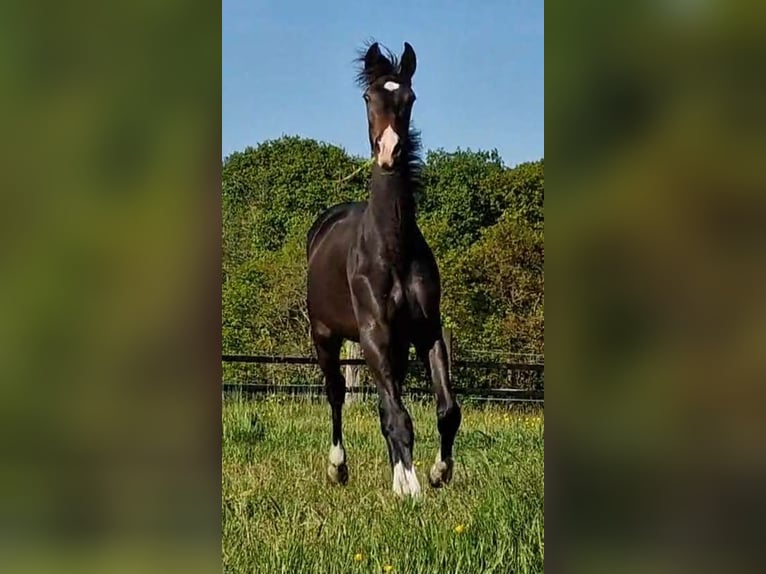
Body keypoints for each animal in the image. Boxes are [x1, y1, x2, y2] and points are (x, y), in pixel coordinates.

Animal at [308, 41, 462, 500]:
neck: (392, 249)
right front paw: (410, 487)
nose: (390, 151)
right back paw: (338, 468)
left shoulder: (425, 331)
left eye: (409, 98)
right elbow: (398, 415)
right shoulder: (373, 332)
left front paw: (436, 472)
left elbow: (446, 409)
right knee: (336, 394)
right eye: (367, 97)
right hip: (325, 336)